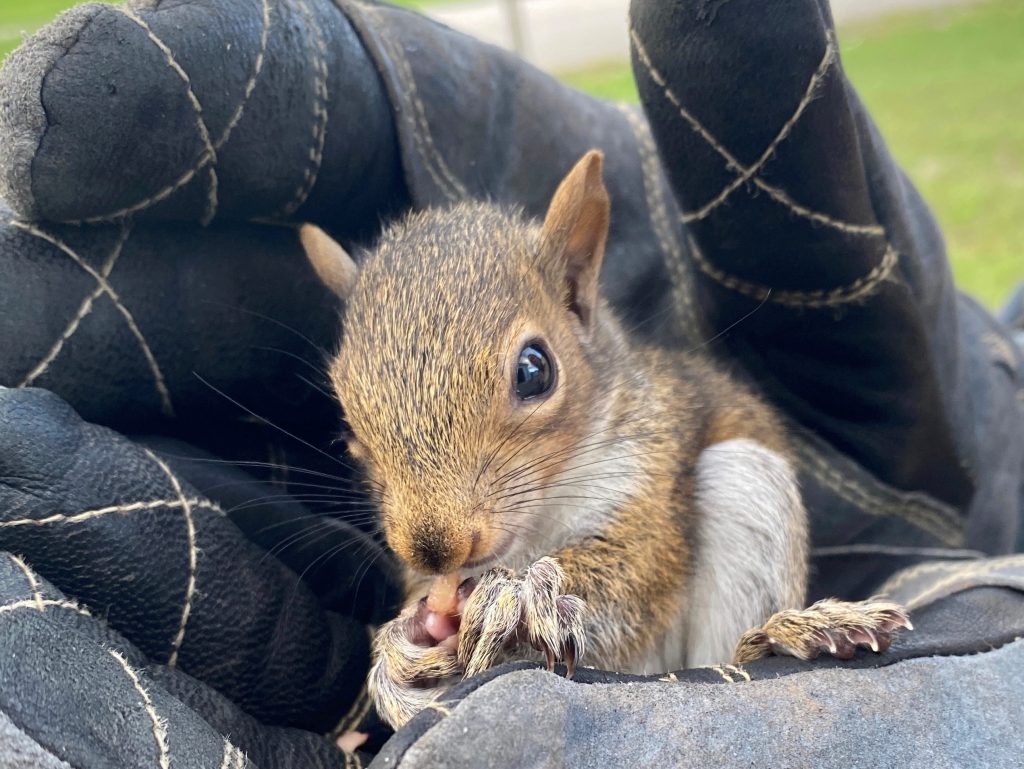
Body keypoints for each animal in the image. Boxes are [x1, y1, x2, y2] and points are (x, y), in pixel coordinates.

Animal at [299, 151, 913, 733]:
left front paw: (520, 595)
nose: (436, 548)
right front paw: (400, 645)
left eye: (534, 371)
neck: (538, 521)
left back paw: (799, 630)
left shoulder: (651, 480)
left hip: (748, 480)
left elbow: (632, 579)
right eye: (347, 424)